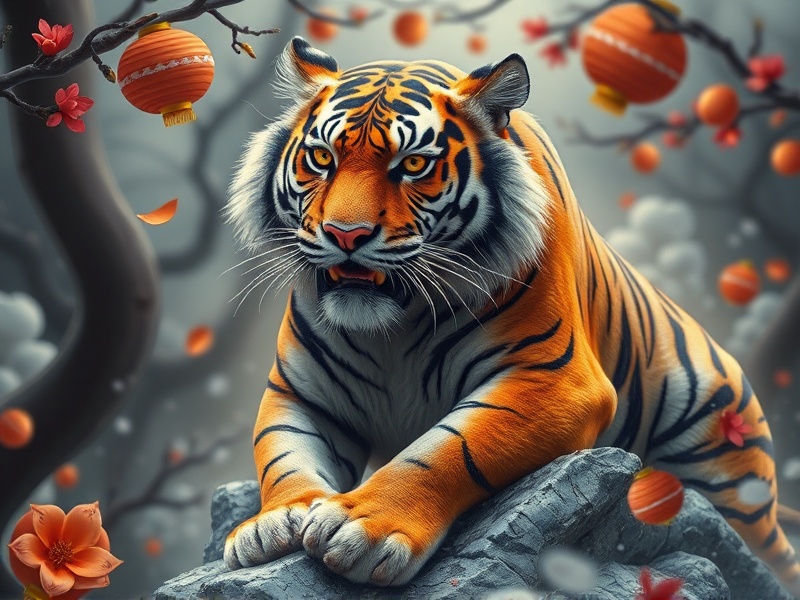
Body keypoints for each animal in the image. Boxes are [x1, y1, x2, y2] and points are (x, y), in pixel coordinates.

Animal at [222, 36, 800, 594]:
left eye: (413, 165)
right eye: (322, 158)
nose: (345, 235)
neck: (392, 329)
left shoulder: (554, 379)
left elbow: (446, 448)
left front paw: (363, 528)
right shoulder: (298, 392)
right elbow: (283, 456)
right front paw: (270, 525)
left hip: (732, 476)